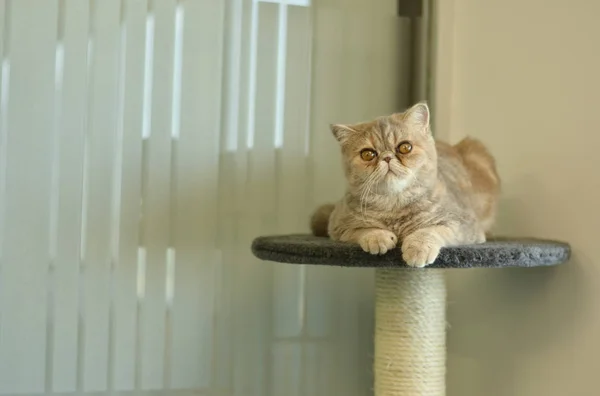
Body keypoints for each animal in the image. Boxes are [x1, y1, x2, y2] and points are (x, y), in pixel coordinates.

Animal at [312, 100, 500, 268]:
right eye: (368, 154)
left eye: (405, 147)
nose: (387, 158)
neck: (394, 206)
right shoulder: (338, 225)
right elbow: (362, 229)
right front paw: (377, 237)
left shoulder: (464, 225)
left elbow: (431, 230)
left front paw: (418, 248)